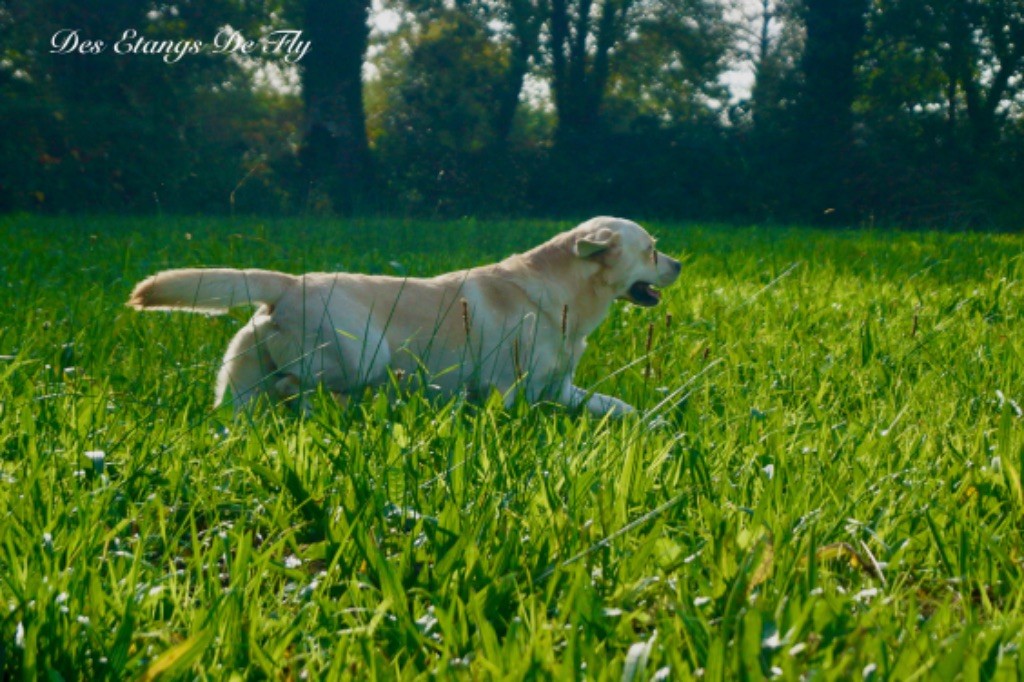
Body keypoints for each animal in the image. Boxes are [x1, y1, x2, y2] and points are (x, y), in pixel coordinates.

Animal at [128, 215, 679, 413]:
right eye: (652, 250)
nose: (679, 264)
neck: (566, 296)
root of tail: (287, 284)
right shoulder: (505, 388)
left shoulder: (560, 389)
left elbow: (619, 406)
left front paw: (653, 424)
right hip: (363, 357)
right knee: (295, 385)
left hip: (240, 387)